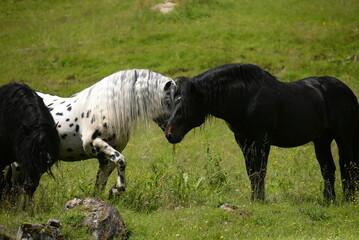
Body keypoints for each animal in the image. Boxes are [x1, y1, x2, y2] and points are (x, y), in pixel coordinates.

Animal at [37, 69, 176, 197]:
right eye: (169, 101)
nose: (173, 135)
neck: (107, 109)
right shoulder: (94, 145)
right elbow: (121, 160)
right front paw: (117, 189)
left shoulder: (105, 159)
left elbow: (100, 185)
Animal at [167, 62, 359, 202]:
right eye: (170, 102)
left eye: (184, 106)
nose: (169, 134)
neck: (245, 97)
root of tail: (347, 90)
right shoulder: (243, 140)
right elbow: (251, 171)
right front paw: (254, 199)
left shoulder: (261, 140)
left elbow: (260, 170)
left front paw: (260, 199)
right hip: (321, 139)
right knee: (328, 168)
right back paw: (329, 200)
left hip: (344, 138)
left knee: (348, 166)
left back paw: (349, 199)